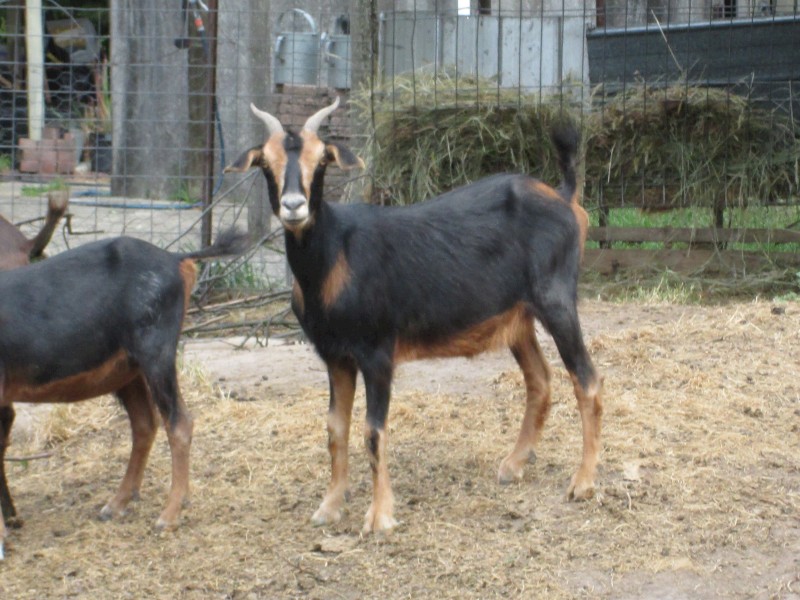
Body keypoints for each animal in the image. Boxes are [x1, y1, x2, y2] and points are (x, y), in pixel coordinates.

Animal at [0, 228, 248, 559]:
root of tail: (175, 259)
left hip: (155, 351)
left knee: (178, 422)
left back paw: (169, 514)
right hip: (126, 369)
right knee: (145, 424)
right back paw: (117, 504)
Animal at [224, 98, 602, 534]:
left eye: (321, 161)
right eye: (265, 164)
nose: (293, 207)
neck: (334, 255)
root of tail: (563, 196)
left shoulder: (376, 353)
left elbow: (373, 431)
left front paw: (380, 516)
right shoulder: (335, 355)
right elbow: (336, 429)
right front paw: (330, 507)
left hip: (556, 300)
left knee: (587, 380)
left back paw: (583, 483)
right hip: (518, 317)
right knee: (539, 379)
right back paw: (514, 464)